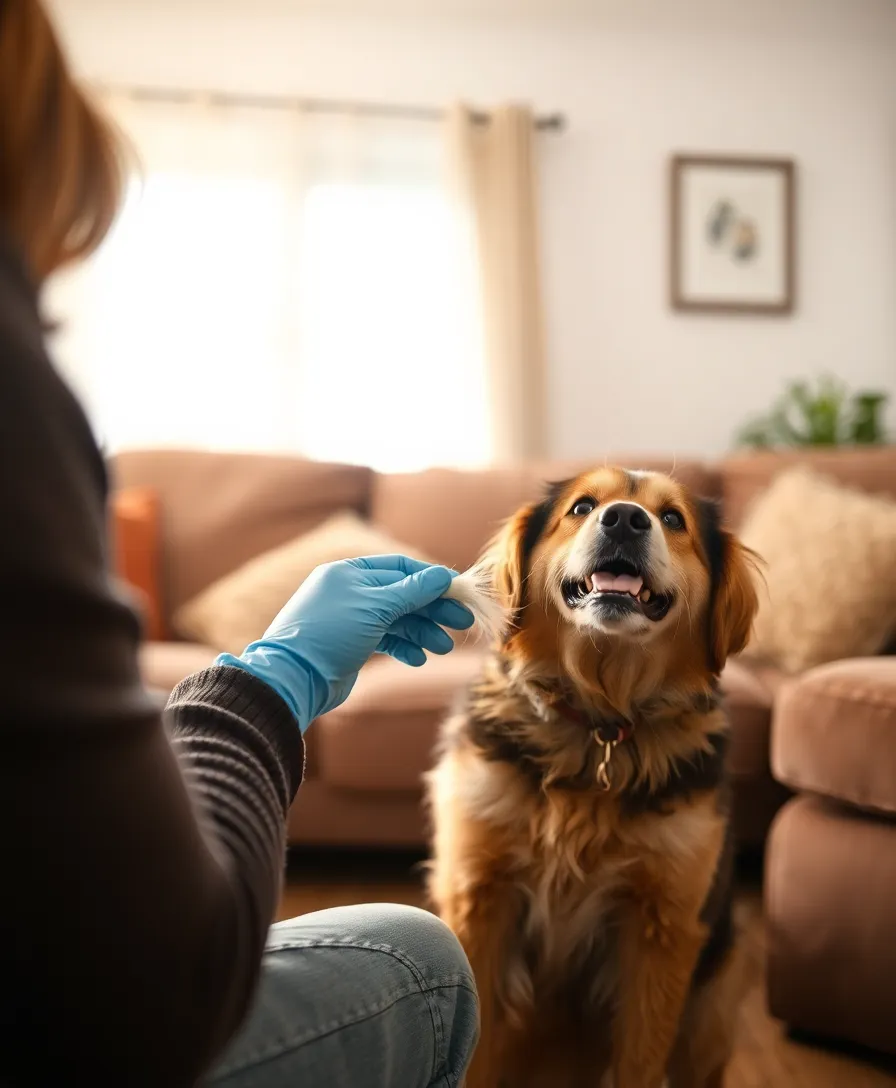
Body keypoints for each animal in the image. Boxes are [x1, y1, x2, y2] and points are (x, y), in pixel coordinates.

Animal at [426, 465, 756, 1088]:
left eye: (673, 518)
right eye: (581, 507)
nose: (624, 518)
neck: (600, 723)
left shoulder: (662, 928)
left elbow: (640, 1056)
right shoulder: (480, 895)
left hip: (715, 1008)